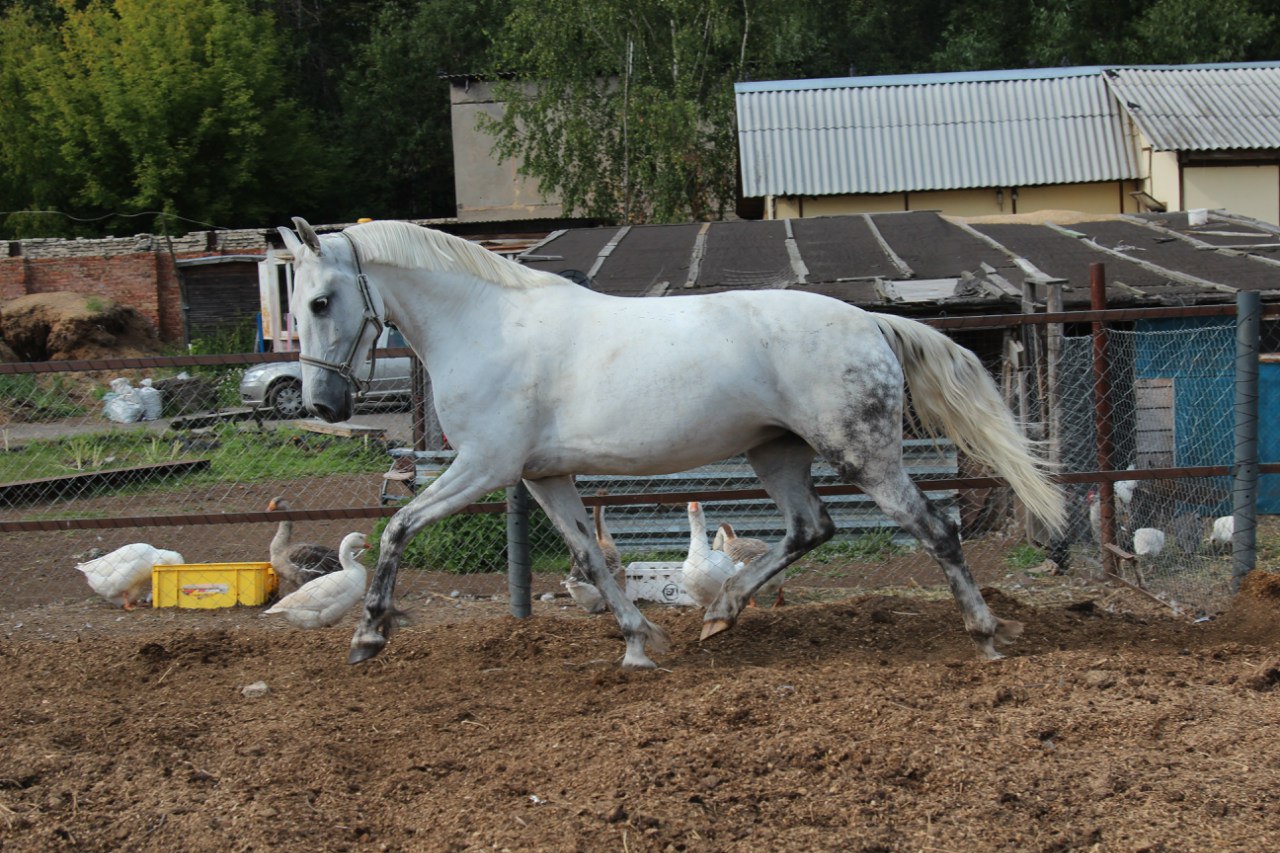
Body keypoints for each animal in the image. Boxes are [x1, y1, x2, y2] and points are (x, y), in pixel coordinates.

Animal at [277, 216, 1059, 666]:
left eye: (321, 300)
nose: (322, 403)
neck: (488, 326)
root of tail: (870, 321)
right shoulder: (541, 476)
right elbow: (592, 559)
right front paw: (639, 645)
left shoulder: (484, 467)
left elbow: (397, 527)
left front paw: (368, 636)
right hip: (775, 451)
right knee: (811, 527)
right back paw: (720, 613)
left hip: (862, 454)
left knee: (934, 529)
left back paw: (986, 635)